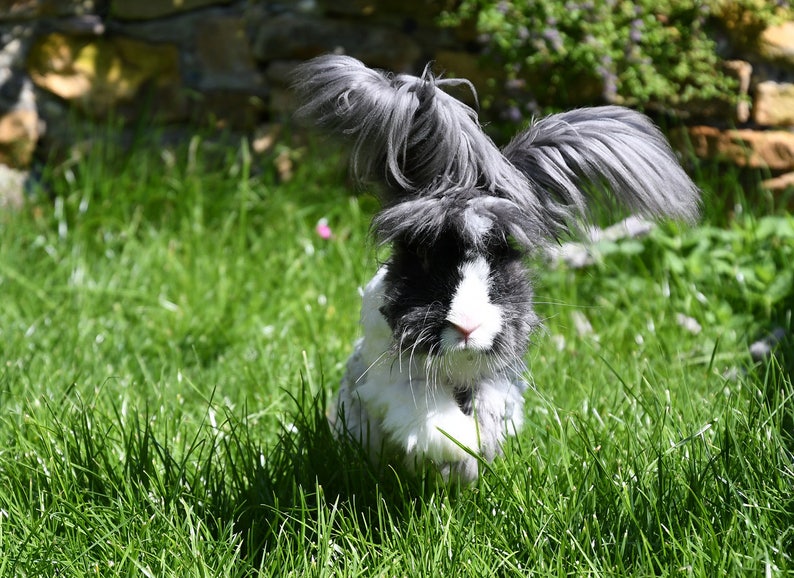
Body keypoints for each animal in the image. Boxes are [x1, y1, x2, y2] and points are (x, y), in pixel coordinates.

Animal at [292, 56, 700, 484]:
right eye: (422, 256)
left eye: (504, 257)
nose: (467, 327)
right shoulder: (397, 379)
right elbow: (431, 415)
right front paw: (459, 447)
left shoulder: (496, 383)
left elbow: (487, 414)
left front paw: (475, 457)